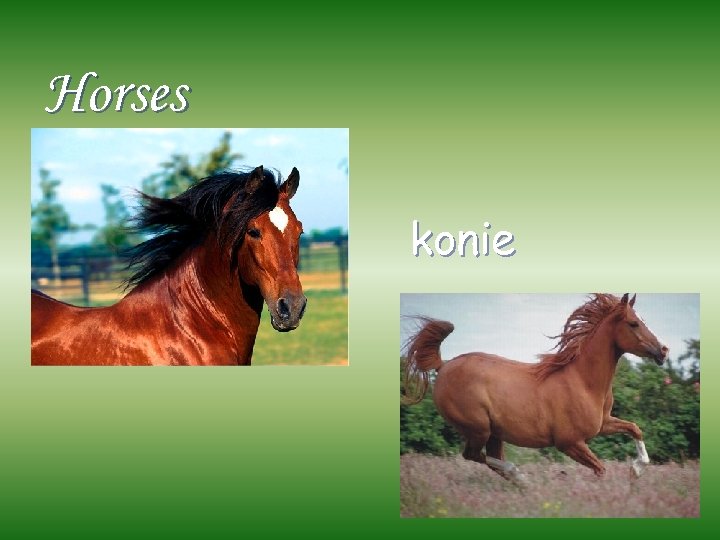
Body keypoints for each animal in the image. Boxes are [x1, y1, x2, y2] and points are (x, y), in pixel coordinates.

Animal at [402, 294, 669, 484]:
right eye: (633, 323)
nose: (663, 351)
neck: (583, 381)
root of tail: (443, 365)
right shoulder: (569, 442)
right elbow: (600, 468)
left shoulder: (603, 424)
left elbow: (634, 428)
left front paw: (637, 469)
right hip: (478, 428)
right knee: (475, 456)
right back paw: (521, 478)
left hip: (494, 433)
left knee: (489, 457)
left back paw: (519, 484)